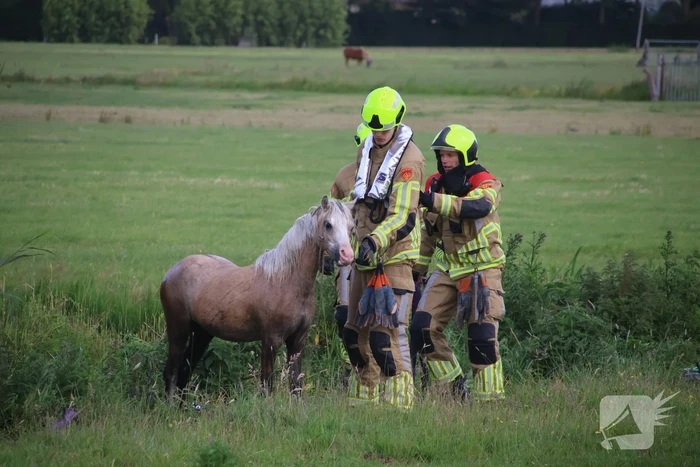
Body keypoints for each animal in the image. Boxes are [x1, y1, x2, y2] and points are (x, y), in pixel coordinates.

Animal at [160, 196, 355, 403]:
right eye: (328, 224)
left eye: (351, 227)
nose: (347, 255)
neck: (285, 281)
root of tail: (171, 272)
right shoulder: (270, 341)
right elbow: (267, 385)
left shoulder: (298, 341)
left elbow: (296, 385)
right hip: (178, 330)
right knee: (171, 372)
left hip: (202, 333)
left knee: (184, 372)